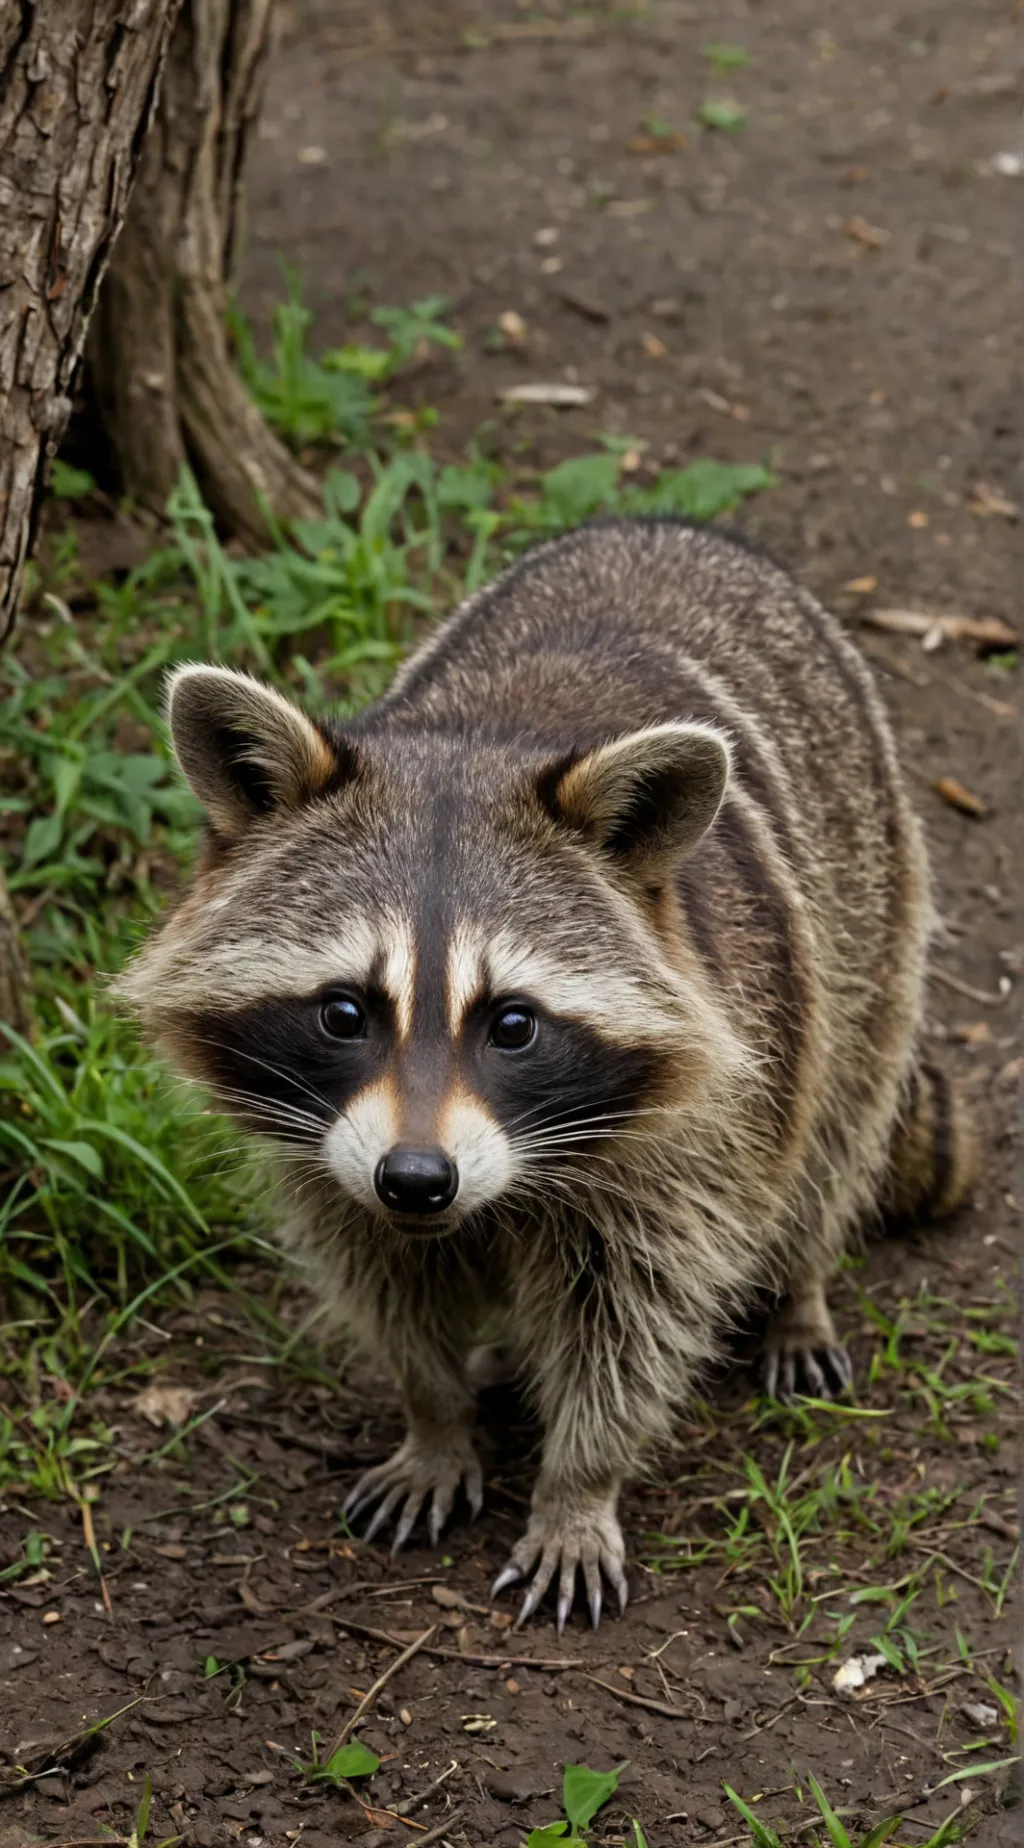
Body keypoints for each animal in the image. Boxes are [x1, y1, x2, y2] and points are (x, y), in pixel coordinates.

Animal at [117, 518, 975, 1630]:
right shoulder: (331, 1153)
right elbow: (384, 1276)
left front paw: (578, 1486)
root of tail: (664, 526)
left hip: (866, 909)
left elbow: (636, 1316)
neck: (481, 738)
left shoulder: (698, 1126)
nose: (417, 1179)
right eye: (345, 1012)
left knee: (834, 1126)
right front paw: (434, 1415)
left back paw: (799, 1289)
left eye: (513, 1024)